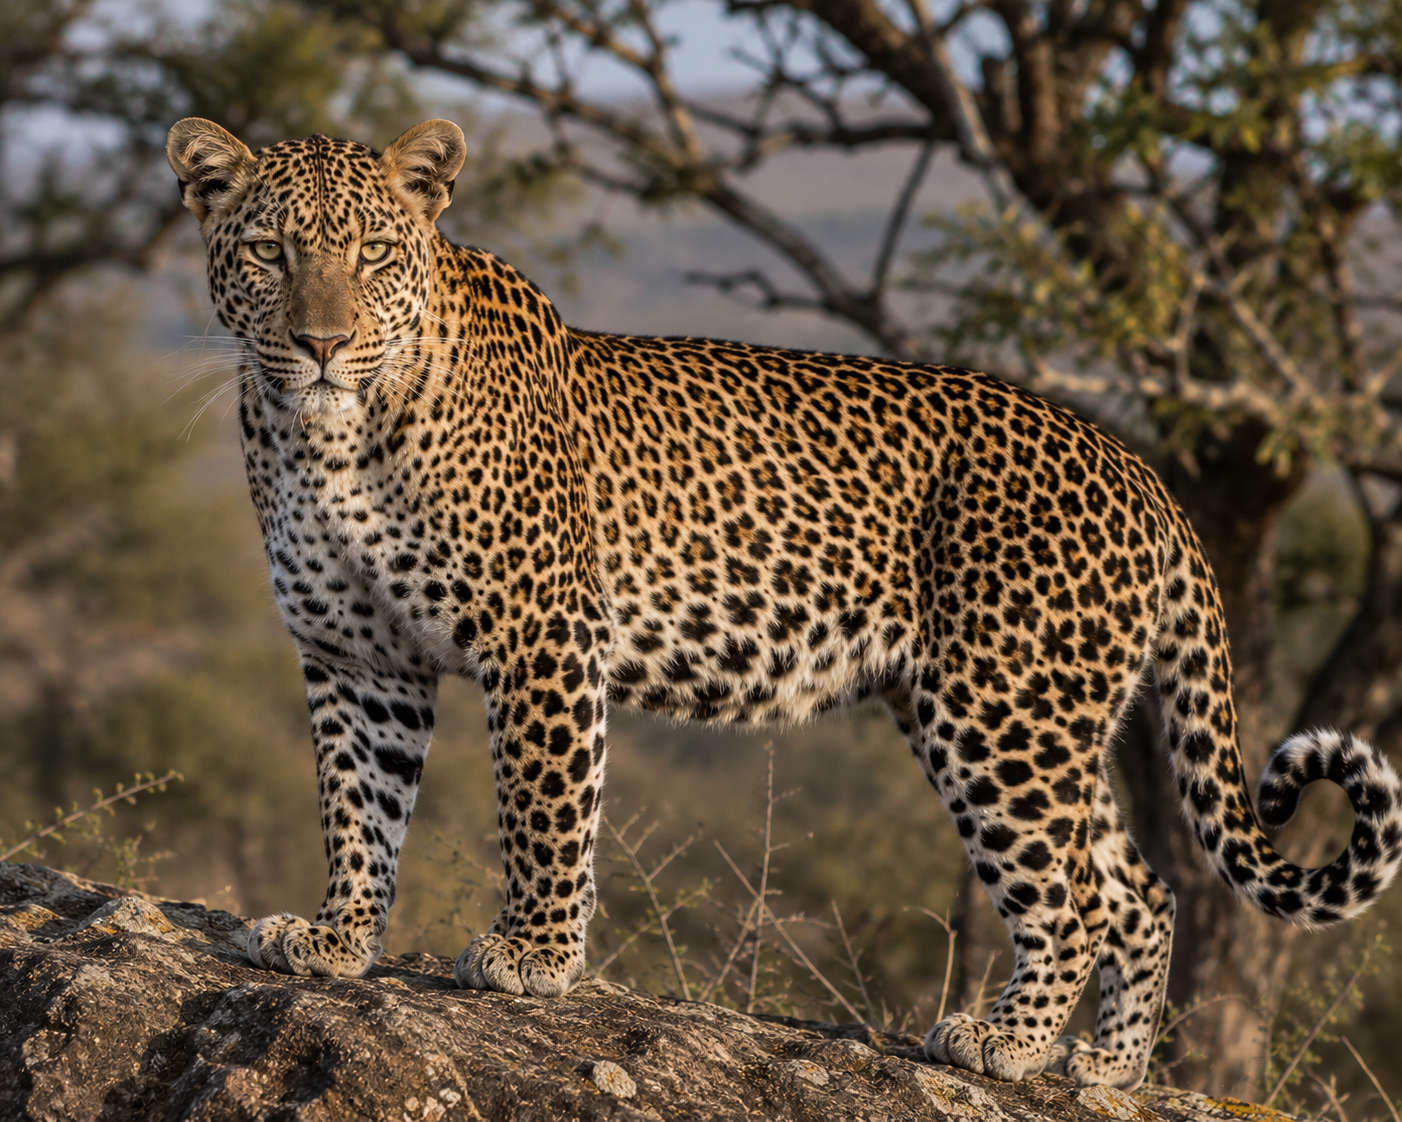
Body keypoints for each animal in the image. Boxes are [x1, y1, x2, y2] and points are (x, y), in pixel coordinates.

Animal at [166, 114, 1402, 1091]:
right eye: (270, 251)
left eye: (373, 253)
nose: (322, 343)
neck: (327, 439)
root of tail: (1138, 466)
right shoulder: (355, 657)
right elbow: (356, 807)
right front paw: (336, 938)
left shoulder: (540, 641)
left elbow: (542, 807)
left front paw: (532, 959)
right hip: (1041, 715)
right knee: (1140, 887)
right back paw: (1104, 1065)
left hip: (999, 710)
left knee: (1074, 896)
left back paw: (1005, 1044)